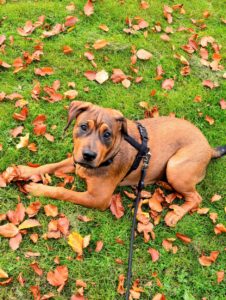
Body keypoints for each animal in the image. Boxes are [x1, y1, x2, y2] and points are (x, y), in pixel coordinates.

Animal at [13, 99, 224, 226]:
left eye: (107, 134)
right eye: (83, 126)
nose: (89, 155)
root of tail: (208, 147)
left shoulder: (98, 198)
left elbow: (64, 192)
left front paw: (37, 189)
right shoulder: (75, 161)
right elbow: (51, 166)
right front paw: (24, 171)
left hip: (175, 168)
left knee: (196, 198)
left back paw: (175, 214)